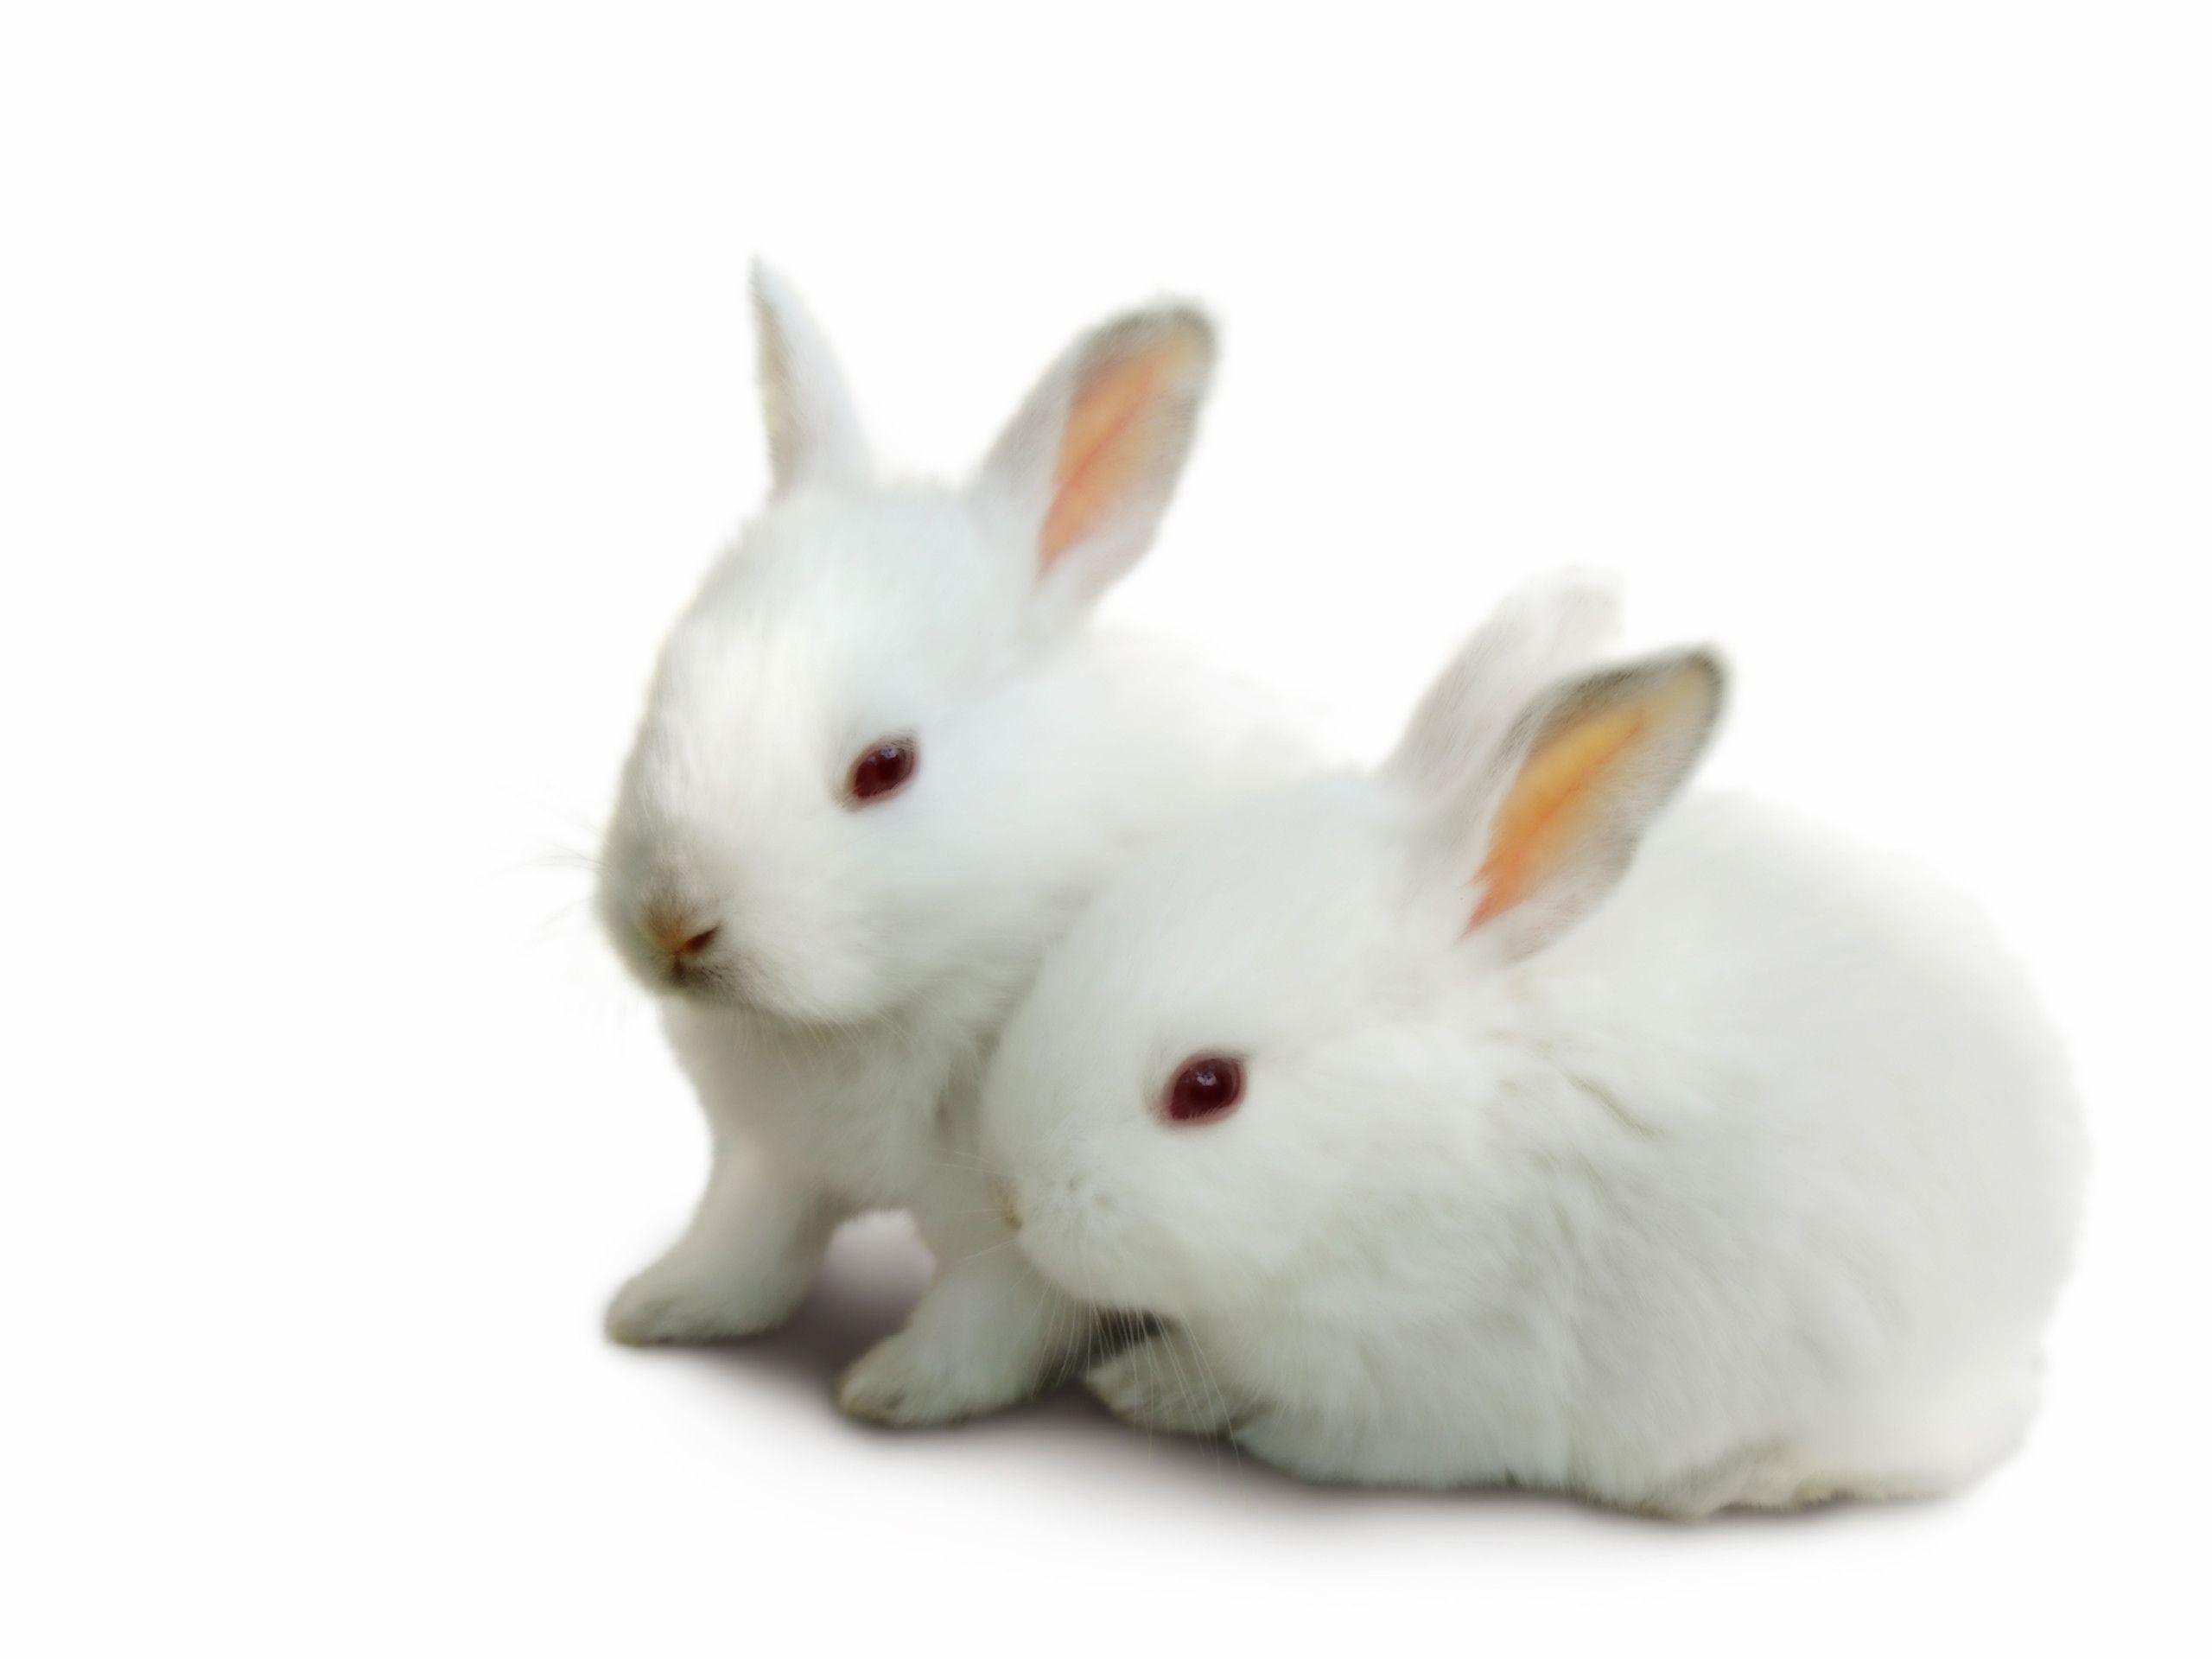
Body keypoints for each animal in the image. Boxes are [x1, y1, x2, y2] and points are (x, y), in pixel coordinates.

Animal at [595, 266, 1321, 1425]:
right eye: (667, 686)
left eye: (884, 766)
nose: (674, 923)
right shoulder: (767, 1160)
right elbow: (745, 1247)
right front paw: (660, 1309)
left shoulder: (1019, 1224)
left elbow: (988, 1320)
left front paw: (894, 1392)